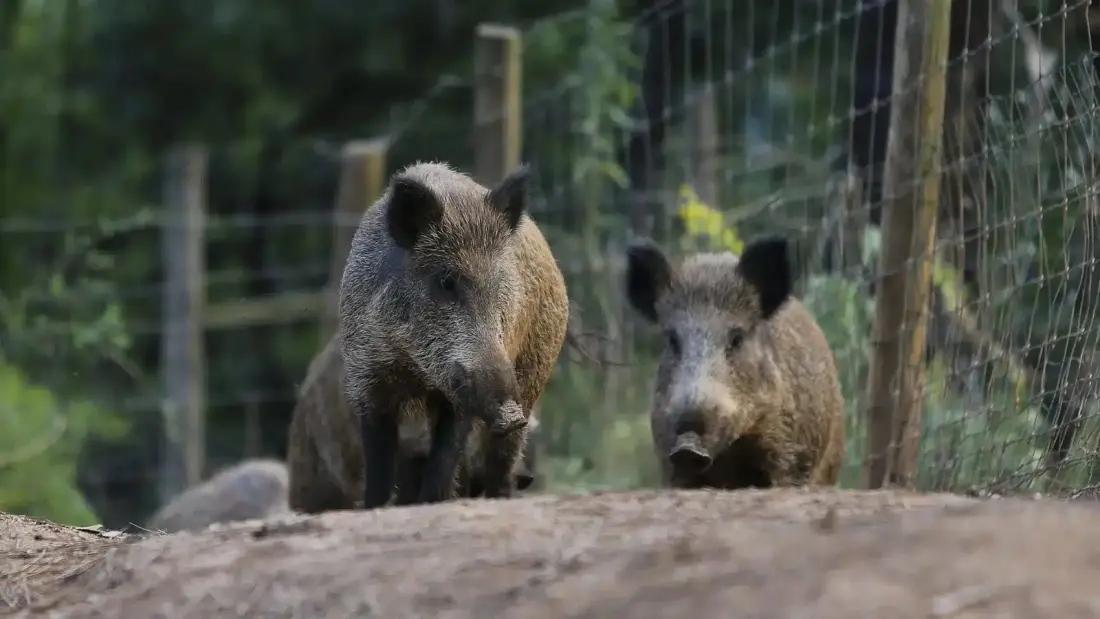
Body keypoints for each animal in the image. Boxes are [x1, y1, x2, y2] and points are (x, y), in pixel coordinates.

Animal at [338, 161, 568, 507]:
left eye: (501, 283)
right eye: (446, 281)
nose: (509, 414)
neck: (414, 364)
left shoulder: (459, 400)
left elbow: (445, 459)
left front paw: (433, 501)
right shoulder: (367, 378)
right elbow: (379, 464)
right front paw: (376, 505)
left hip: (533, 372)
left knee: (502, 460)